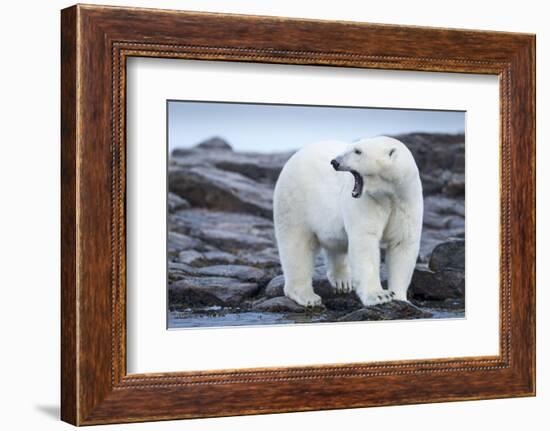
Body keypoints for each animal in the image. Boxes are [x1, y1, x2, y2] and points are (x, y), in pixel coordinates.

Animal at [274, 137, 424, 308]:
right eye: (350, 148)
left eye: (357, 151)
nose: (335, 161)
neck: (389, 193)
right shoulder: (368, 201)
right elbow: (365, 241)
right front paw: (379, 295)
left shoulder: (406, 201)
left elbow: (402, 243)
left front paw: (399, 297)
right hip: (294, 201)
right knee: (296, 246)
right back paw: (307, 296)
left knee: (335, 244)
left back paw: (343, 281)